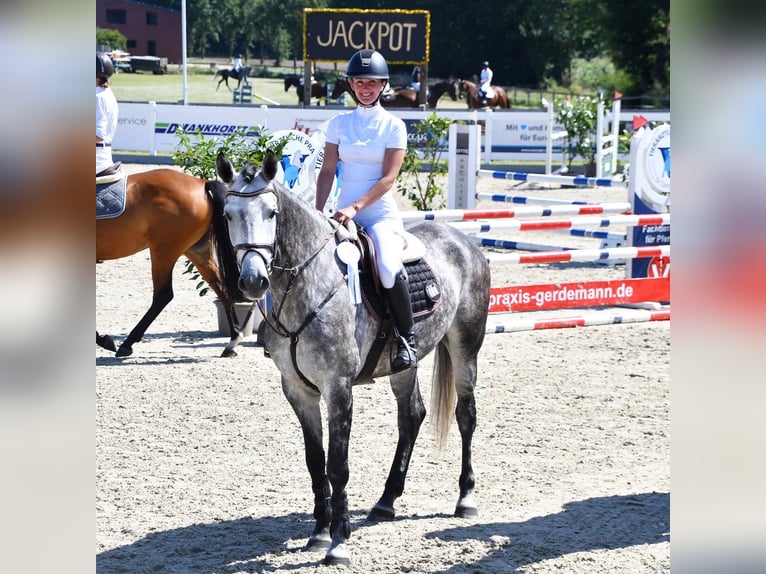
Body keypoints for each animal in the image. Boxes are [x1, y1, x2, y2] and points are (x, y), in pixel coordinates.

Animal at [96, 169, 246, 360]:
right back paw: (232, 341)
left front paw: (103, 339)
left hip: (164, 251)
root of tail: (201, 183)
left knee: (163, 295)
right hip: (197, 252)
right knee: (221, 287)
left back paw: (127, 344)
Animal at [216, 151, 492, 568]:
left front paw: (338, 542)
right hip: (404, 364)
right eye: (229, 214)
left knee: (466, 415)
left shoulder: (338, 388)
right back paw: (386, 501)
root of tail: (462, 240)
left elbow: (338, 466)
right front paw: (318, 533)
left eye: (271, 213)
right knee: (412, 415)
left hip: (465, 347)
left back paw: (466, 499)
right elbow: (316, 462)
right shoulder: (298, 390)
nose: (252, 282)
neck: (308, 286)